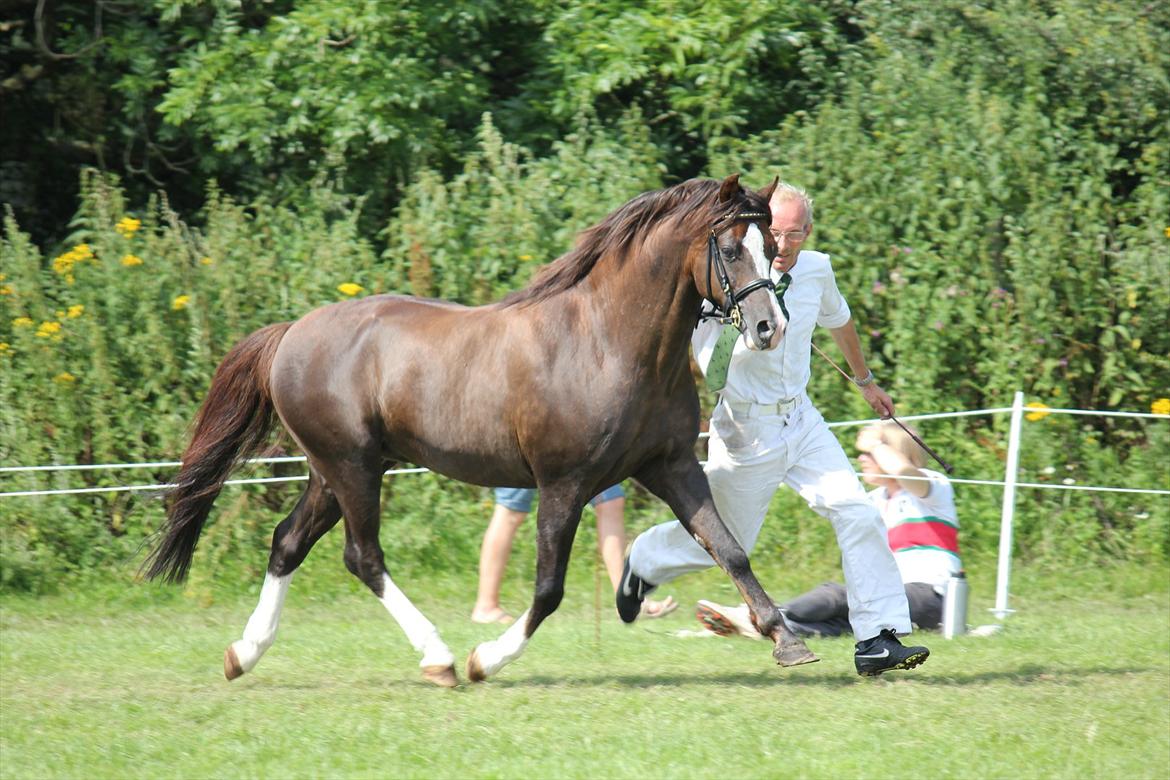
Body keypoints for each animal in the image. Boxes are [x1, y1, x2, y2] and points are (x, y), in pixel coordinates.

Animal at [146, 174, 819, 687]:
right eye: (729, 249)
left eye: (771, 245)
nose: (770, 329)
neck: (609, 342)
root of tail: (292, 333)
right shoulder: (563, 484)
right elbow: (548, 589)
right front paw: (485, 660)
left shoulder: (669, 465)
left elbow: (728, 547)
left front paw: (785, 641)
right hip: (351, 468)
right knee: (363, 556)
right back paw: (440, 658)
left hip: (334, 472)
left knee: (288, 542)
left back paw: (244, 654)